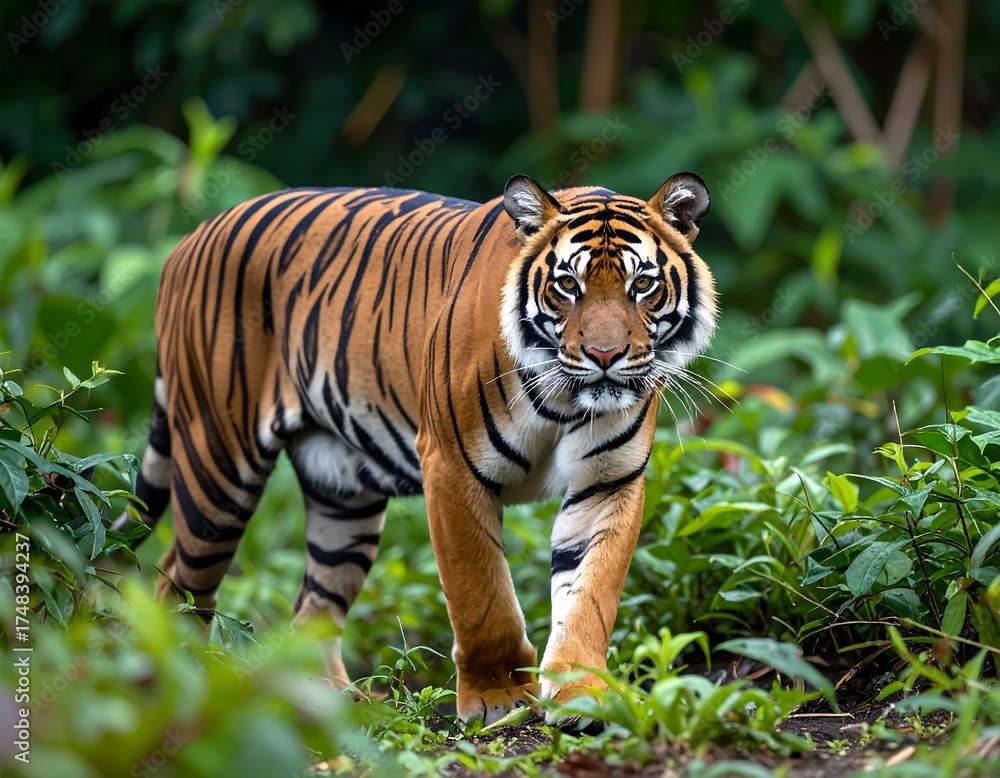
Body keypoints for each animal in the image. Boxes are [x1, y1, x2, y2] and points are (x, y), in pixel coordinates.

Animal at [114, 172, 717, 725]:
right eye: (568, 285)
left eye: (643, 285)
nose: (605, 356)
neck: (566, 398)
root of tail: (188, 240)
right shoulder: (452, 467)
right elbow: (482, 596)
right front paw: (499, 697)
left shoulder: (608, 481)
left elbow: (590, 592)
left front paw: (580, 693)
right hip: (218, 465)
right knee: (177, 581)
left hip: (342, 499)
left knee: (312, 605)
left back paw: (334, 704)